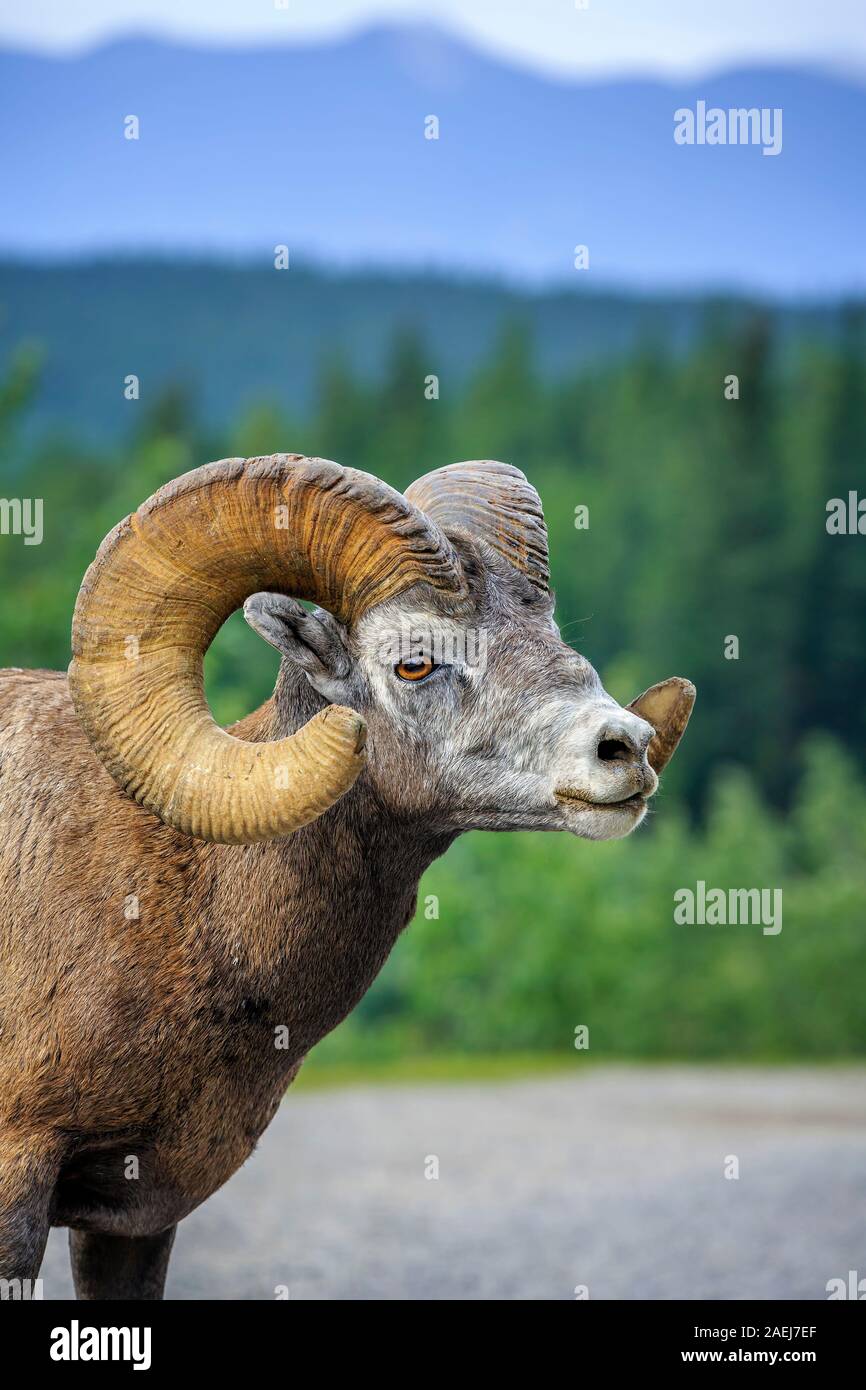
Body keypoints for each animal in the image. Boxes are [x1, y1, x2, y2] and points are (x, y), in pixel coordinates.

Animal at [0, 453, 695, 1289]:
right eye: (415, 661)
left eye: (552, 634)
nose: (623, 748)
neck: (182, 900)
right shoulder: (19, 1179)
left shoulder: (135, 1221)